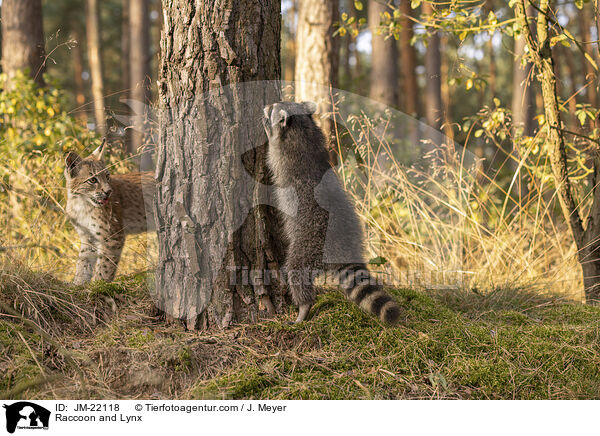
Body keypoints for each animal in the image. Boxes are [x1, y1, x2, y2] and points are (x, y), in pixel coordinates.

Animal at [262, 99, 398, 324]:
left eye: (273, 107)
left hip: (309, 244)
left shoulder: (283, 157)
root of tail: (342, 245)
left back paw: (303, 306)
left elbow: (271, 160)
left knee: (297, 271)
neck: (302, 129)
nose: (265, 106)